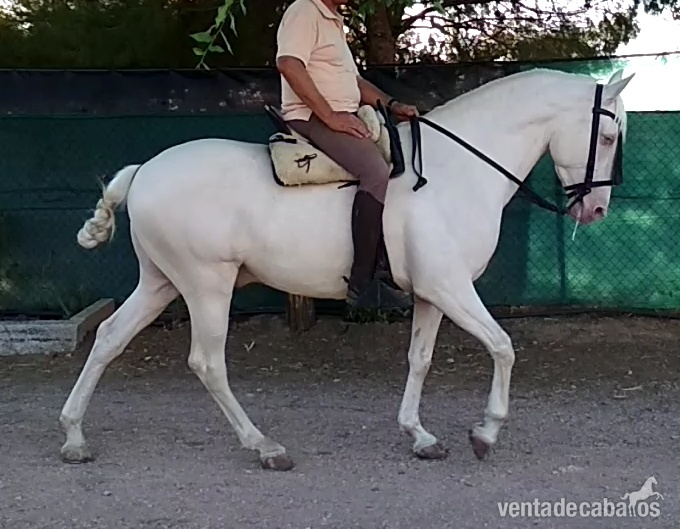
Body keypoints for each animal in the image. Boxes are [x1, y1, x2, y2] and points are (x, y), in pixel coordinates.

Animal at [59, 67, 634, 471]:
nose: (597, 209)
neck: (455, 171)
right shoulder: (451, 288)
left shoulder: (432, 294)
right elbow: (503, 346)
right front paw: (485, 433)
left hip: (160, 283)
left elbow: (420, 359)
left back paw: (74, 436)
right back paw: (265, 447)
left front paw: (419, 436)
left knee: (108, 339)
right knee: (207, 363)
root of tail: (145, 171)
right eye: (607, 138)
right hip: (206, 286)